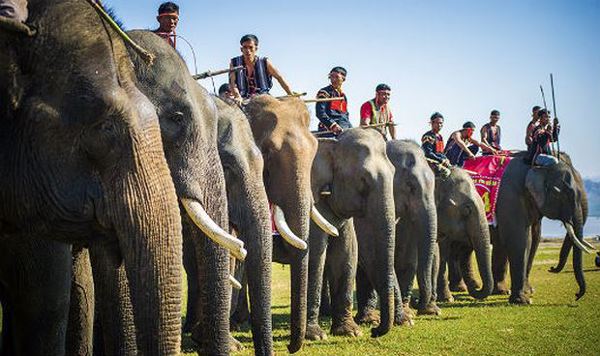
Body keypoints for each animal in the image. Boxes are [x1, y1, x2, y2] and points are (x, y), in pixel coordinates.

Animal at [304, 129, 398, 340]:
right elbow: (314, 256)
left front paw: (350, 332)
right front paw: (315, 335)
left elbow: (346, 255)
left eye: (394, 173)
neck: (332, 143)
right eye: (363, 180)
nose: (374, 331)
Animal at [492, 151, 592, 304]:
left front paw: (528, 292)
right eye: (565, 194)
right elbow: (519, 239)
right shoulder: (510, 196)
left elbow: (531, 240)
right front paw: (523, 301)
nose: (576, 295)